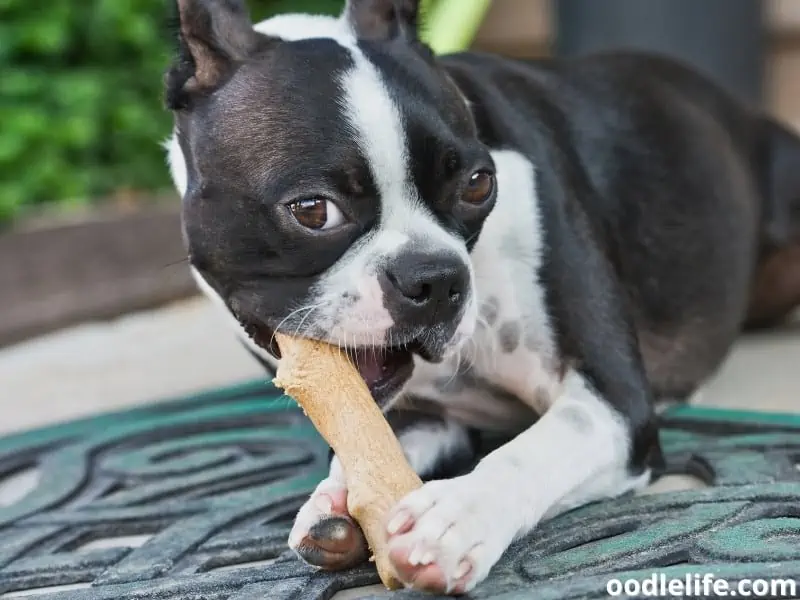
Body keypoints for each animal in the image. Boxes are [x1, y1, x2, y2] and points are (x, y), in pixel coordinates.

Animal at [164, 0, 800, 592]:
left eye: (478, 184)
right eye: (313, 211)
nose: (434, 278)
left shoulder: (614, 407)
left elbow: (530, 452)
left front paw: (457, 518)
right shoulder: (418, 417)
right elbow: (367, 446)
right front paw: (334, 500)